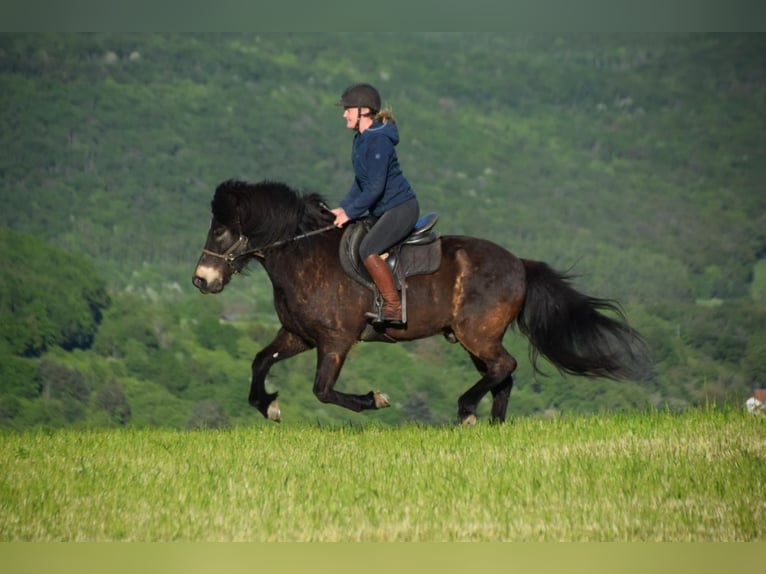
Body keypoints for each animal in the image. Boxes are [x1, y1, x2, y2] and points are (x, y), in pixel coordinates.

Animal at [192, 179, 652, 425]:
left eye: (220, 231)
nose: (201, 280)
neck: (303, 255)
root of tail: (519, 264)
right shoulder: (299, 335)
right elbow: (260, 362)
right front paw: (268, 406)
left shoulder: (335, 342)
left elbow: (323, 390)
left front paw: (373, 399)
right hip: (475, 339)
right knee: (503, 376)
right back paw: (493, 424)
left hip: (476, 334)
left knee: (504, 367)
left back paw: (467, 410)